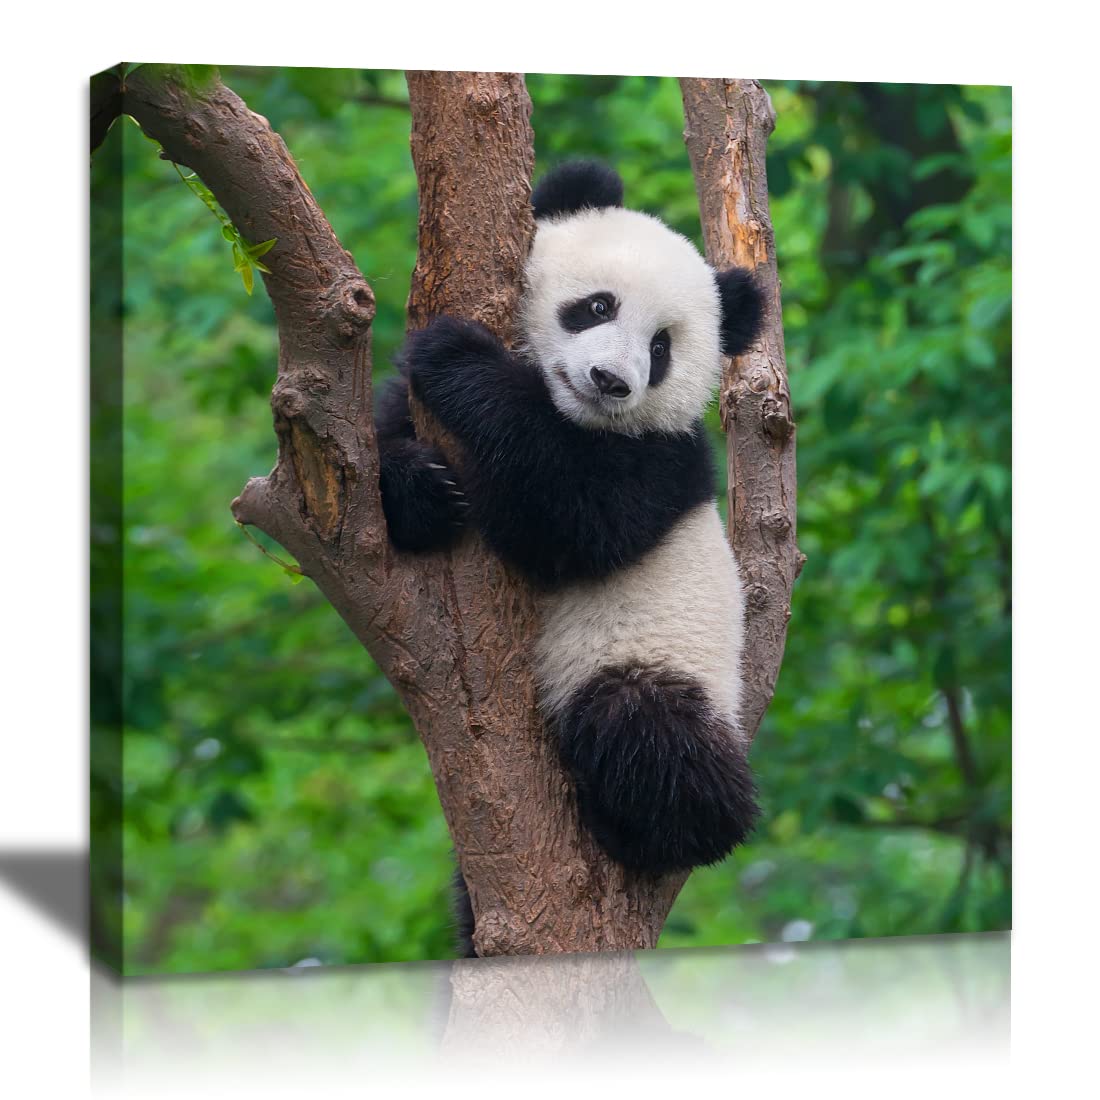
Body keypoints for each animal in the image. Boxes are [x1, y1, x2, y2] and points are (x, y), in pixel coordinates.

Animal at [375, 160, 765, 954]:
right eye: (596, 306)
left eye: (660, 348)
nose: (611, 382)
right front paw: (423, 490)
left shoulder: (663, 462)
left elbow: (571, 519)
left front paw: (457, 358)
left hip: (656, 661)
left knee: (650, 734)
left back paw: (657, 829)